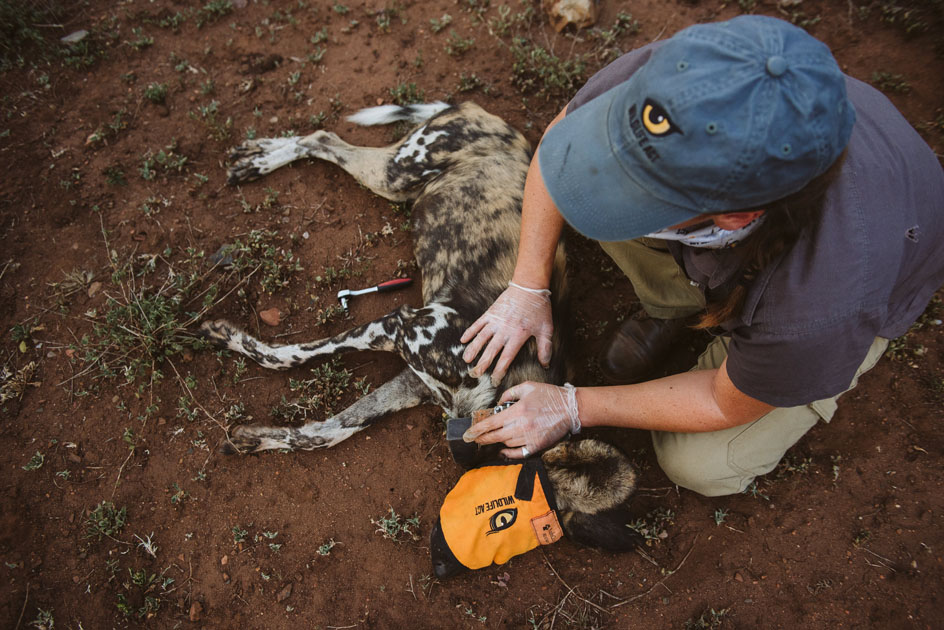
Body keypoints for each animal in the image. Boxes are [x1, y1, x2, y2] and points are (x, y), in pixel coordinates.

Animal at [200, 103, 640, 556]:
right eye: (507, 504)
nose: (443, 547)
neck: (504, 386)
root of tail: (492, 118)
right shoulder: (399, 326)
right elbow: (288, 357)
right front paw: (229, 338)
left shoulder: (411, 380)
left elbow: (327, 433)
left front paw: (251, 439)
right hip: (395, 174)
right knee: (323, 138)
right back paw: (256, 160)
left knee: (324, 141)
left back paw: (255, 155)